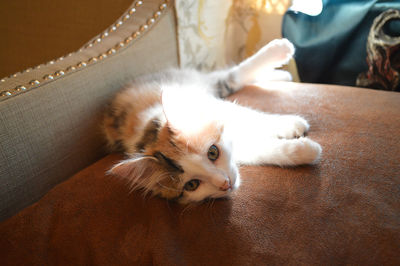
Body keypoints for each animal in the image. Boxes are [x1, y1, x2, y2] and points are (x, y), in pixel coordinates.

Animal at [103, 38, 322, 204]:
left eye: (212, 152)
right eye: (192, 185)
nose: (225, 183)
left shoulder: (216, 108)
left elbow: (252, 116)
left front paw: (292, 124)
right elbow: (262, 150)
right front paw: (304, 151)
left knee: (231, 76)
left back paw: (280, 53)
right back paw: (280, 75)